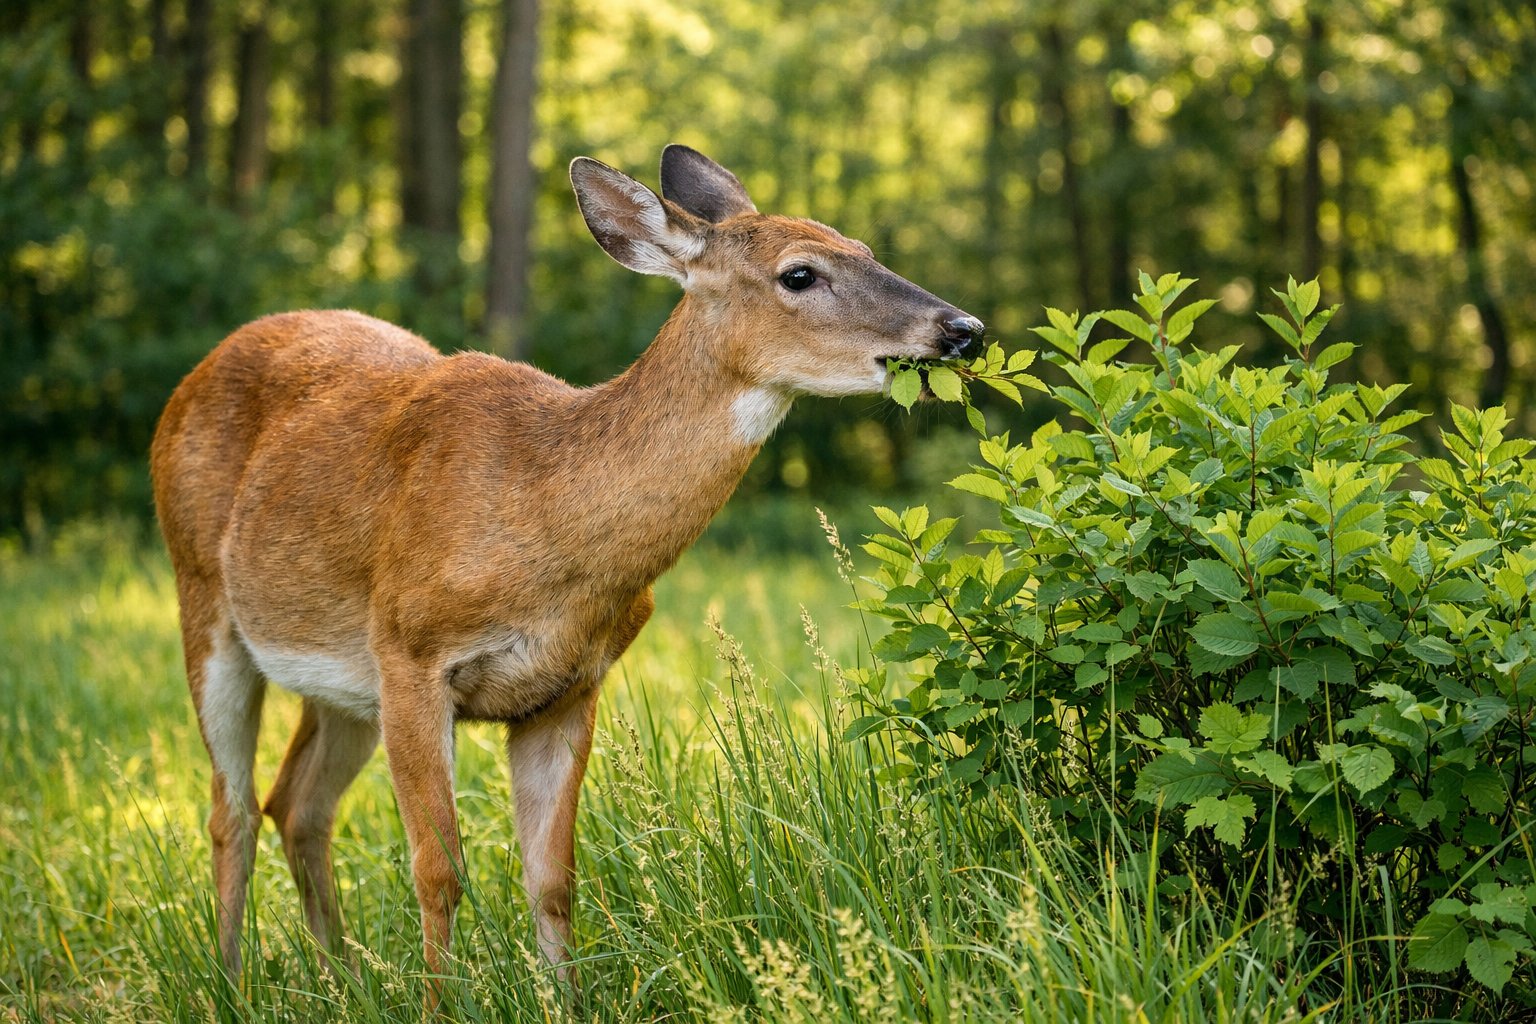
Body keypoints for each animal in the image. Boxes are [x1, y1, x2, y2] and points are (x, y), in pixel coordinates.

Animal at [150, 145, 984, 994]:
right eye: (800, 273)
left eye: (867, 249)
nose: (964, 329)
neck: (547, 514)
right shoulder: (412, 651)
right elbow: (437, 871)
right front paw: (441, 1004)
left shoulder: (569, 685)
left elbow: (553, 880)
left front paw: (564, 998)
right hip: (204, 598)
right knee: (231, 809)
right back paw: (231, 982)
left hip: (343, 681)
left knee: (297, 804)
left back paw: (341, 980)